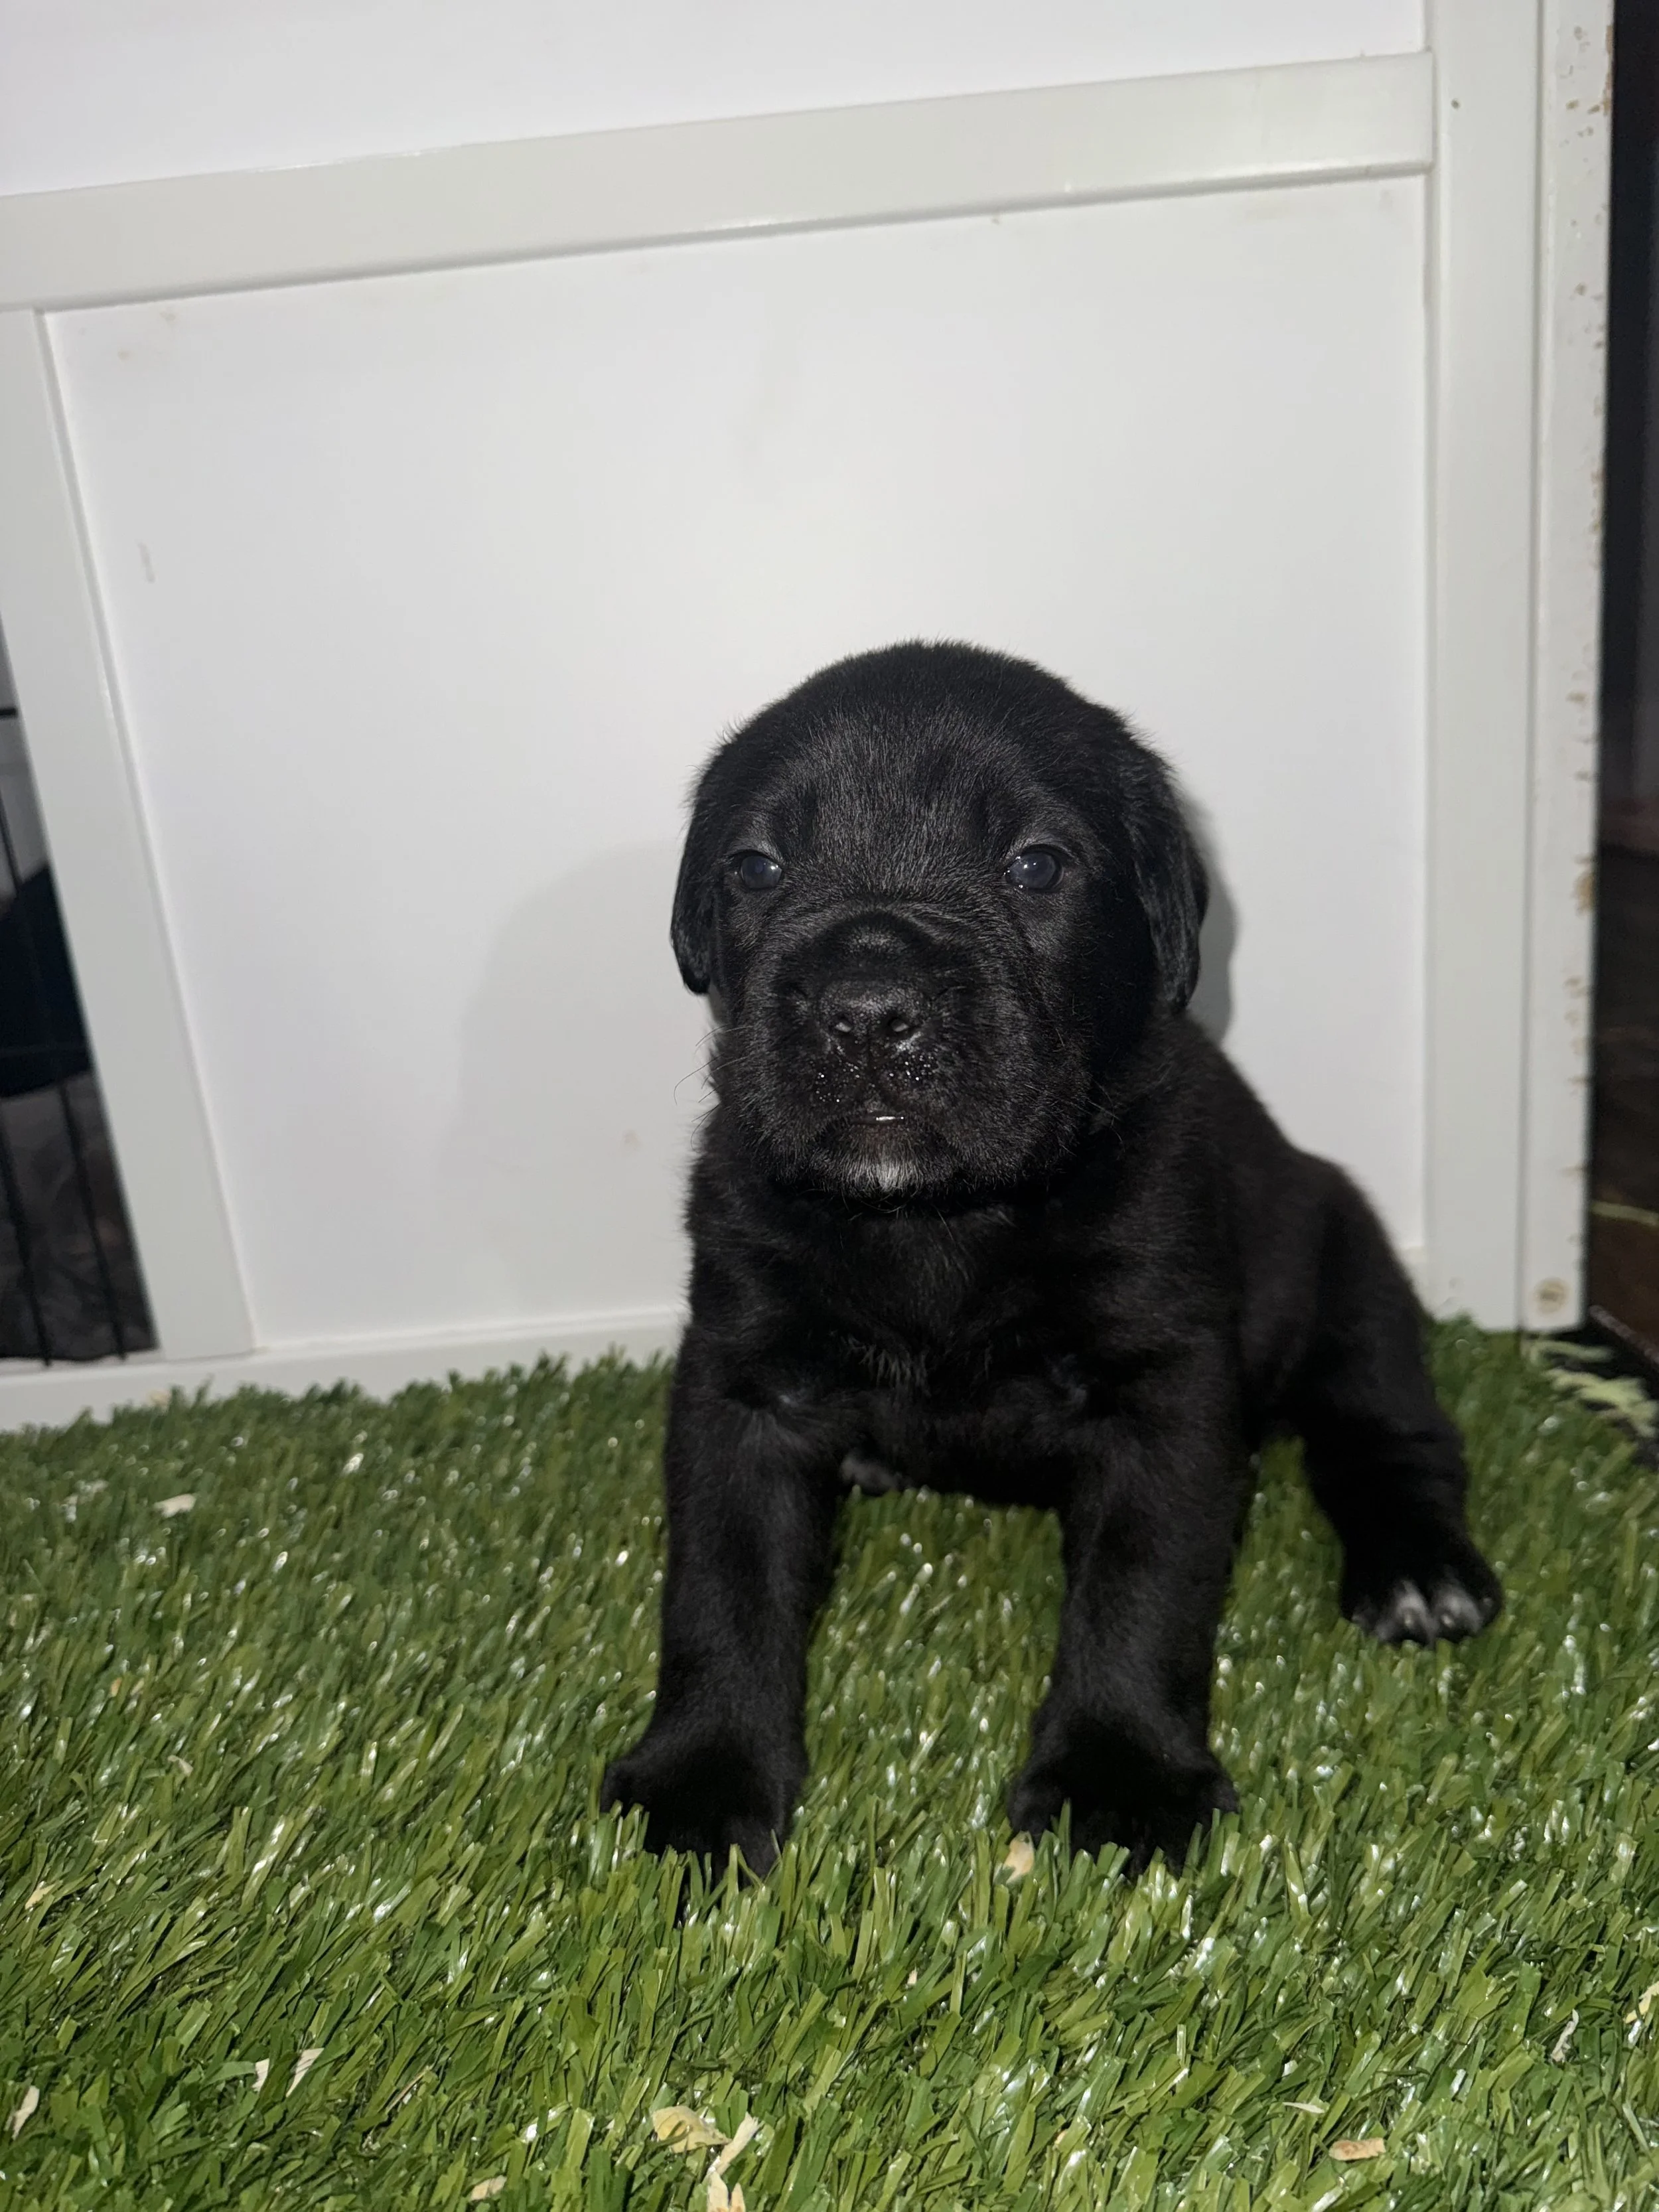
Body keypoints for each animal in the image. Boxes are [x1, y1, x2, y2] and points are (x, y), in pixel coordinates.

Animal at [603, 642, 1501, 1874]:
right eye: (756, 864)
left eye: (1036, 864)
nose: (866, 1008)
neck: (937, 1219)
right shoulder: (745, 1384)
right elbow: (721, 1585)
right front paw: (702, 1777)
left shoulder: (1163, 1387)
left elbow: (1141, 1587)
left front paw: (1117, 1775)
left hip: (1350, 1273)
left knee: (1386, 1430)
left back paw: (1419, 1570)